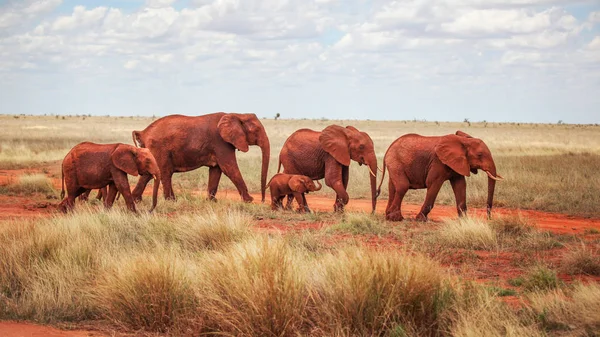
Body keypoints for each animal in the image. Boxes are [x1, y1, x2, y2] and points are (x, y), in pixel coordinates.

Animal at [134, 112, 272, 202]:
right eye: (256, 130)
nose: (263, 200)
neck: (237, 114)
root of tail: (143, 132)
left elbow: (216, 170)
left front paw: (211, 201)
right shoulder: (221, 142)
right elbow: (229, 168)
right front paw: (249, 200)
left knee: (150, 173)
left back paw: (137, 200)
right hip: (160, 148)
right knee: (165, 172)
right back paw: (171, 201)